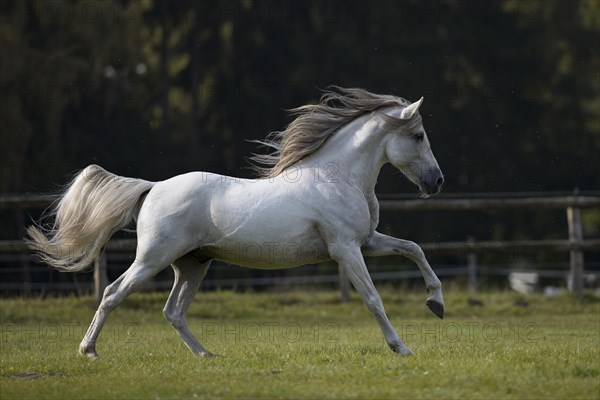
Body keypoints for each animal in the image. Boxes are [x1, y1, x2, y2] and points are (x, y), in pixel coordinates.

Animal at [28, 86, 446, 356]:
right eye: (419, 135)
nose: (437, 181)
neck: (336, 177)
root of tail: (153, 188)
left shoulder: (367, 241)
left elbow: (414, 249)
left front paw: (436, 303)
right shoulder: (345, 249)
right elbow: (373, 298)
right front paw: (401, 347)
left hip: (193, 264)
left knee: (173, 311)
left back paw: (207, 356)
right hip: (153, 258)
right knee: (114, 293)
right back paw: (88, 350)